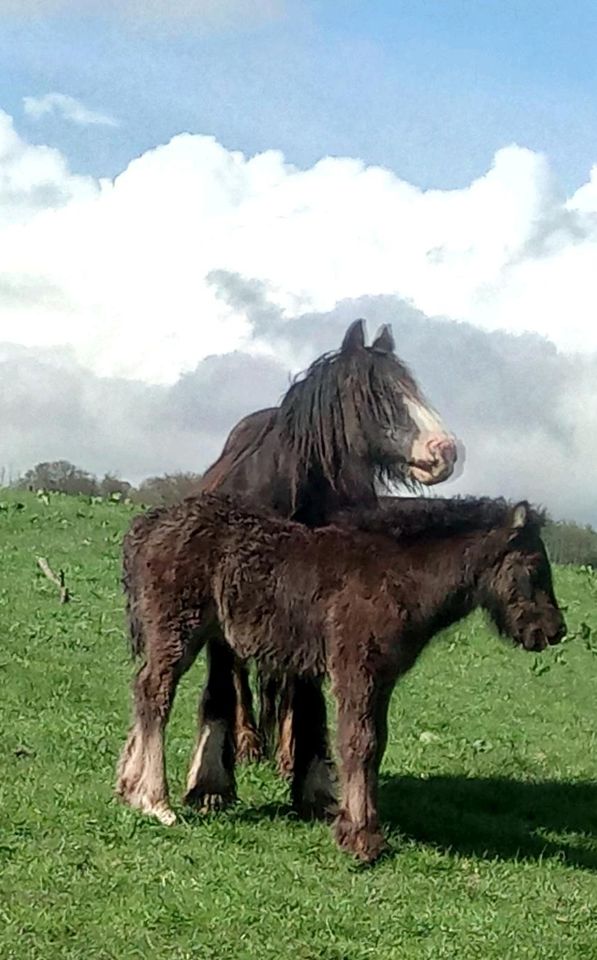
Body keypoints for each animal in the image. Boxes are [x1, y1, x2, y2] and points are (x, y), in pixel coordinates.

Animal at [115, 496, 564, 864]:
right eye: (535, 568)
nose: (554, 630)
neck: (400, 575)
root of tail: (148, 525)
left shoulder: (382, 679)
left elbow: (376, 745)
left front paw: (362, 827)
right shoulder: (356, 669)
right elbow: (359, 743)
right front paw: (361, 838)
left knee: (143, 691)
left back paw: (129, 788)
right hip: (177, 628)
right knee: (154, 692)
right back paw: (155, 800)